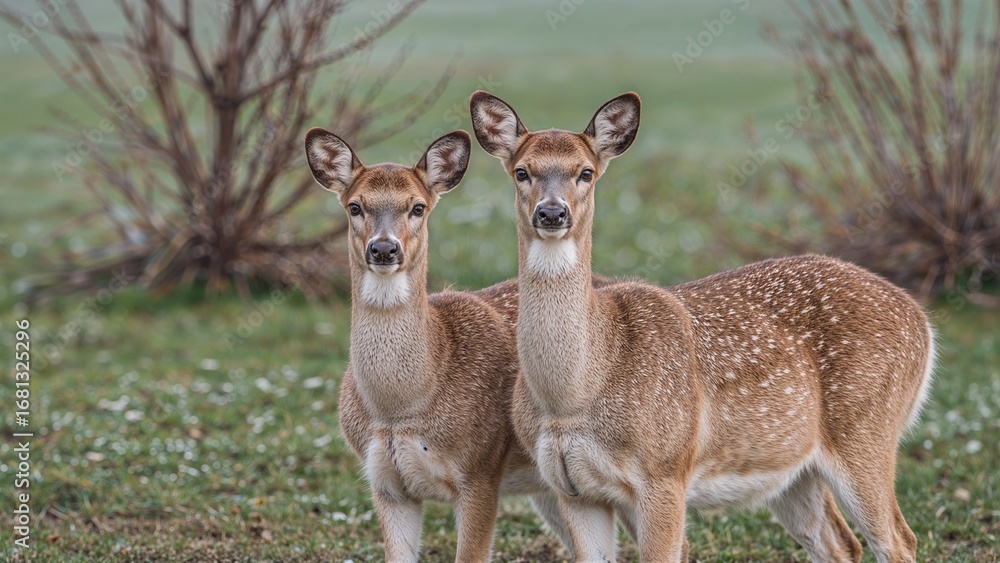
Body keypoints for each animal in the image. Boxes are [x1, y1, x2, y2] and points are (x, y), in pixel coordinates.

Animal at [304, 128, 596, 562]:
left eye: (418, 207)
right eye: (355, 206)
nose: (384, 249)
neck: (400, 408)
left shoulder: (480, 473)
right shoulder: (385, 485)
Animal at [469, 90, 935, 563]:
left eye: (586, 172)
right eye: (522, 172)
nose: (551, 212)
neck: (574, 395)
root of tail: (920, 319)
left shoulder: (665, 473)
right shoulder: (573, 489)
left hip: (867, 429)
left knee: (899, 539)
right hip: (789, 466)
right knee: (840, 542)